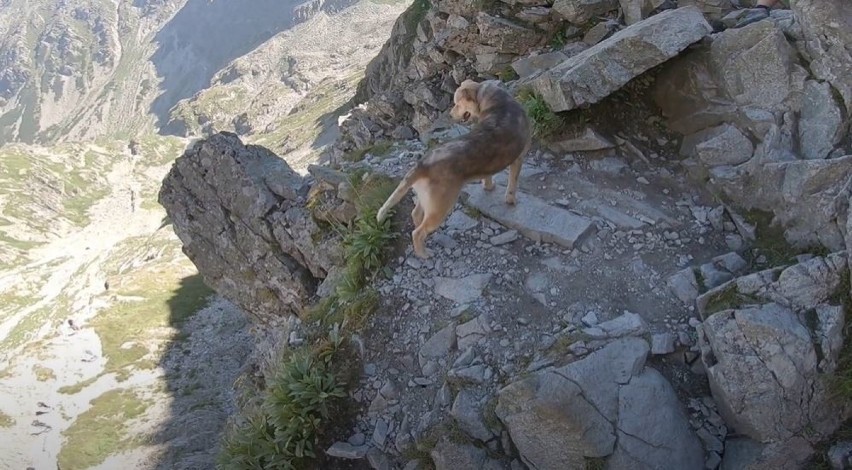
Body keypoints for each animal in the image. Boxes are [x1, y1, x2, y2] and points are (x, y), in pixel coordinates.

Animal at [374, 79, 528, 258]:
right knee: (417, 233)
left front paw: (489, 187)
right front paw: (510, 200)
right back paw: (424, 254)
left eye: (457, 104)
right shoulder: (519, 159)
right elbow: (512, 184)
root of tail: (422, 164)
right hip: (440, 207)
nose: (450, 115)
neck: (495, 101)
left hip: (425, 198)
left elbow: (487, 176)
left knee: (416, 214)